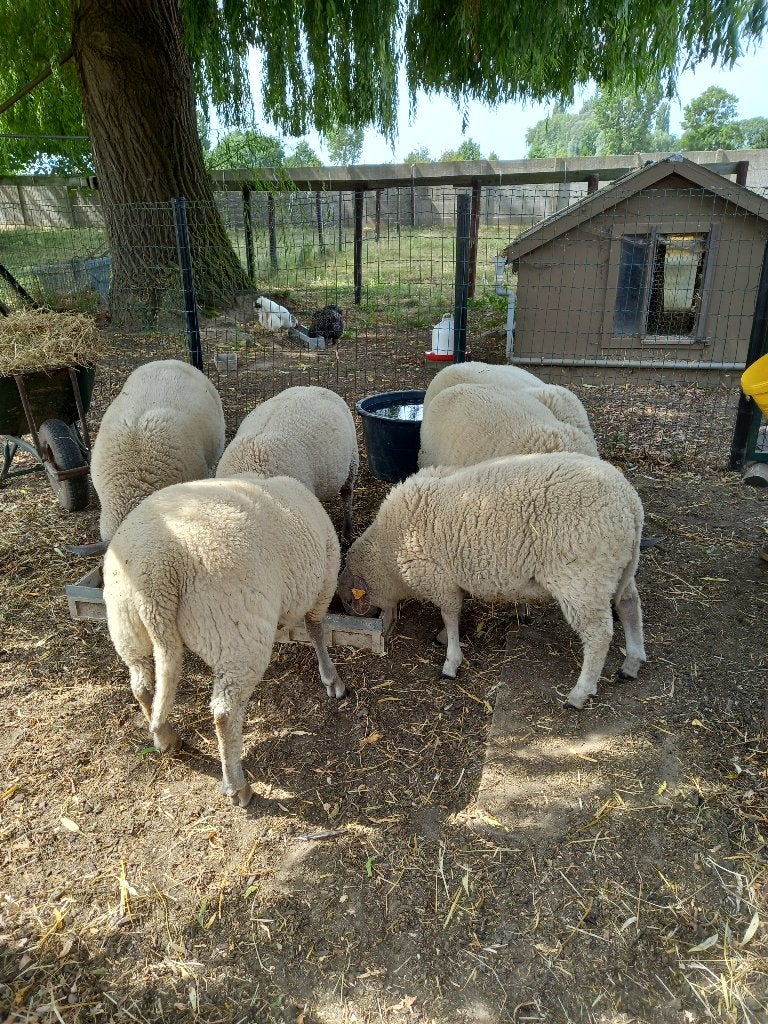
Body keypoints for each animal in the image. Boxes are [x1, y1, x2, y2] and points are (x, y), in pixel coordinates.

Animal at [103, 473, 346, 807]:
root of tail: (156, 574)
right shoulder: (323, 583)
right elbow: (316, 629)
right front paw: (331, 679)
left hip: (127, 627)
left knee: (141, 686)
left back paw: (166, 738)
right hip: (235, 634)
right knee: (224, 713)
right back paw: (236, 785)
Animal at [338, 452, 646, 710]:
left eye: (348, 600)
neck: (387, 552)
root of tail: (631, 503)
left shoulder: (439, 580)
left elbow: (450, 615)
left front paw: (451, 661)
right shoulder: (450, 581)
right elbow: (453, 615)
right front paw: (444, 638)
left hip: (582, 581)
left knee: (599, 636)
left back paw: (579, 694)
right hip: (615, 569)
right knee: (629, 605)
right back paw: (632, 662)